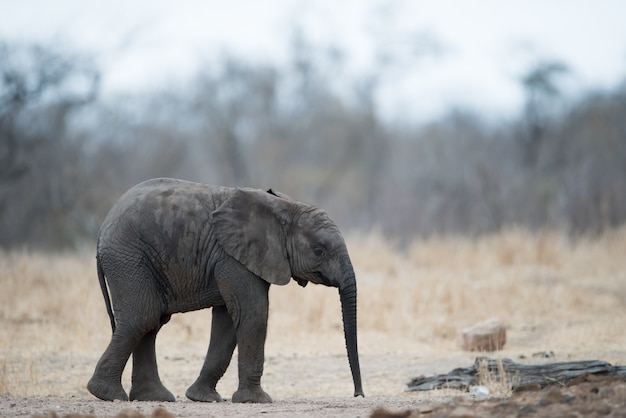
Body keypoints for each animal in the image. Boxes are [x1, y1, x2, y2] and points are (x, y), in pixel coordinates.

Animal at [85, 178, 364, 404]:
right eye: (319, 251)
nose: (358, 394)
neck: (285, 207)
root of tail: (100, 232)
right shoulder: (232, 257)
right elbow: (253, 314)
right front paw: (257, 401)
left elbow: (228, 322)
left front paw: (203, 398)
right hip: (129, 260)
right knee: (142, 317)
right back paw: (107, 394)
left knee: (151, 322)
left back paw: (154, 397)